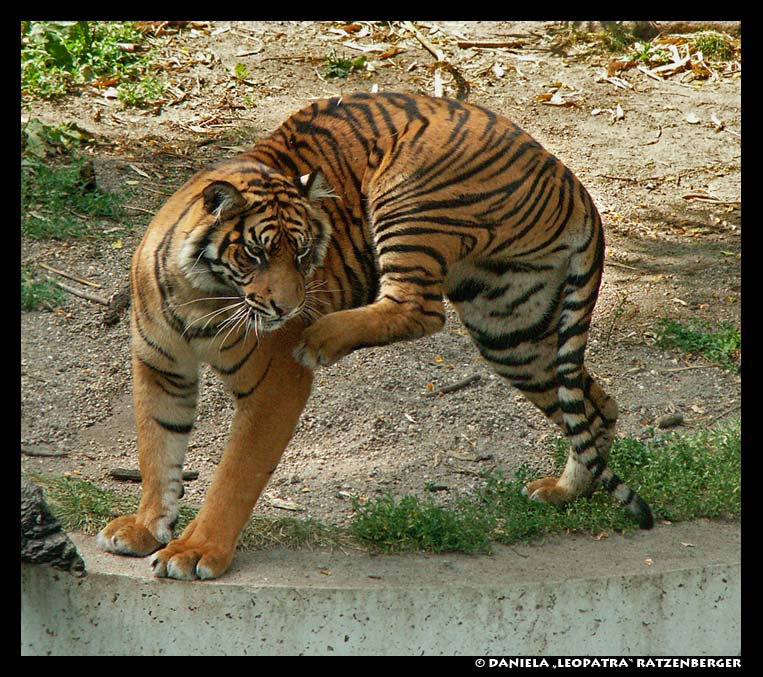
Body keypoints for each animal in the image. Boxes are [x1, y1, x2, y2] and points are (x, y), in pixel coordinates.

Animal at [95, 90, 652, 580]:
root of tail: (568, 176)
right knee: (594, 403)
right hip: (513, 330)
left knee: (419, 309)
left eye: (302, 253)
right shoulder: (160, 367)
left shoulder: (274, 384)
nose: (290, 308)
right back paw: (566, 490)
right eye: (255, 254)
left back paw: (320, 337)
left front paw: (197, 551)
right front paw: (146, 527)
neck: (199, 293)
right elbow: (156, 449)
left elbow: (236, 472)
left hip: (410, 195)